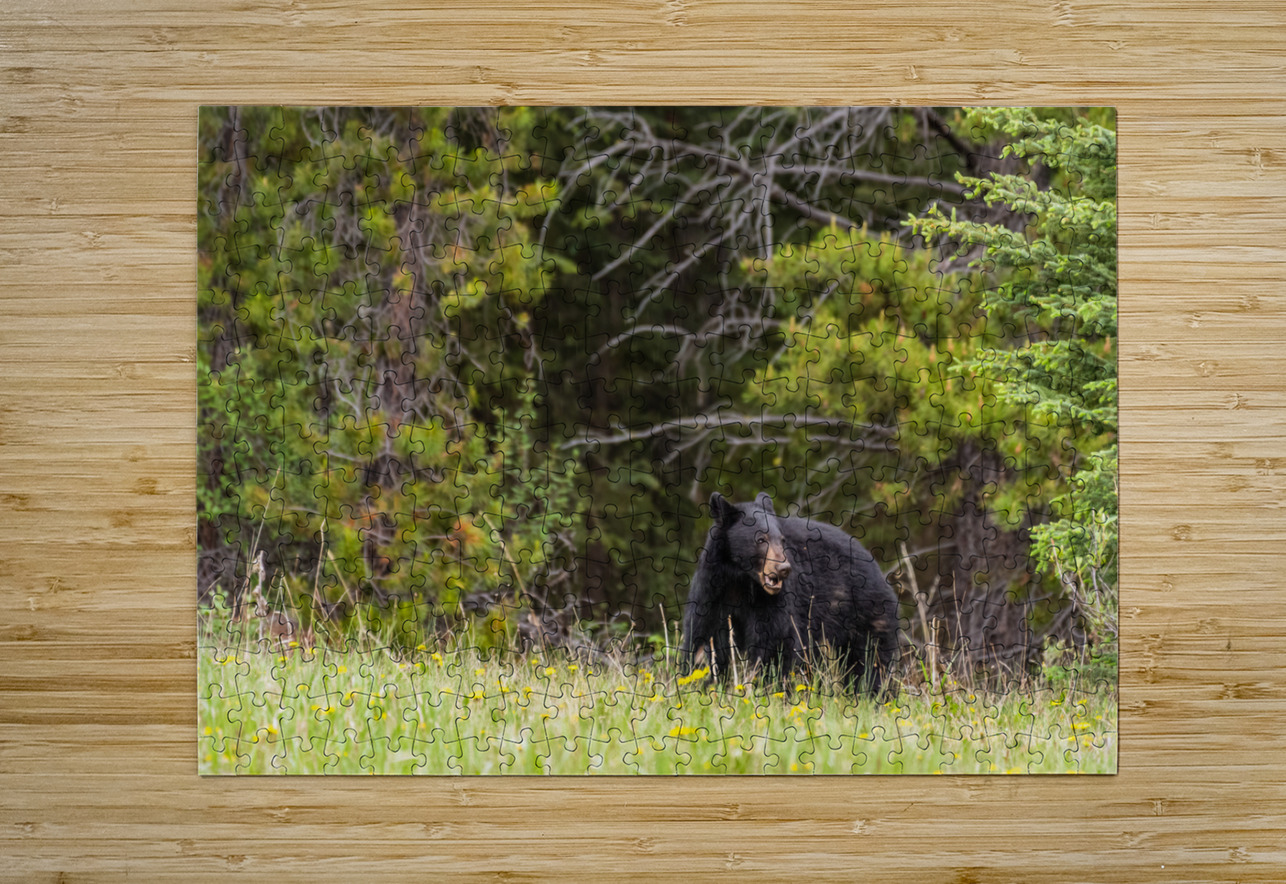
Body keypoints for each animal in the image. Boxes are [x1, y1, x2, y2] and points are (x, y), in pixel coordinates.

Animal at [679, 491, 899, 696]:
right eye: (761, 539)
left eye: (782, 540)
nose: (783, 568)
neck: (741, 580)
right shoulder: (712, 591)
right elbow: (701, 635)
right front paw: (698, 680)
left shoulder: (776, 601)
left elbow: (774, 641)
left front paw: (766, 685)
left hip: (866, 613)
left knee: (871, 662)